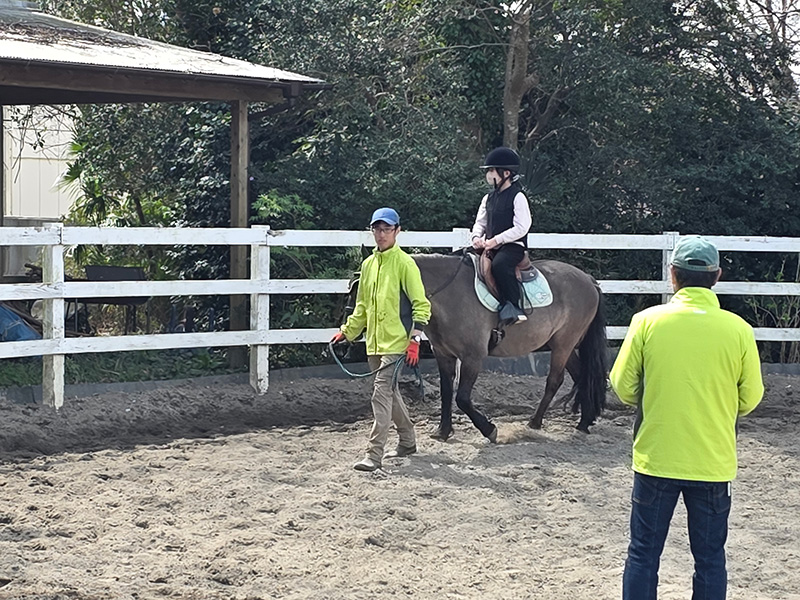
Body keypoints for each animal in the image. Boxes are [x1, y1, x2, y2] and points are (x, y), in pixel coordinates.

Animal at [343, 251, 608, 440]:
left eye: (367, 291)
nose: (350, 332)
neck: (450, 294)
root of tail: (588, 279)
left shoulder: (473, 357)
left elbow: (462, 398)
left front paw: (489, 429)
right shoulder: (444, 355)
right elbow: (447, 392)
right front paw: (443, 431)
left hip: (564, 343)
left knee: (555, 380)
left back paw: (535, 422)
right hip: (563, 344)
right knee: (581, 375)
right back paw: (584, 421)